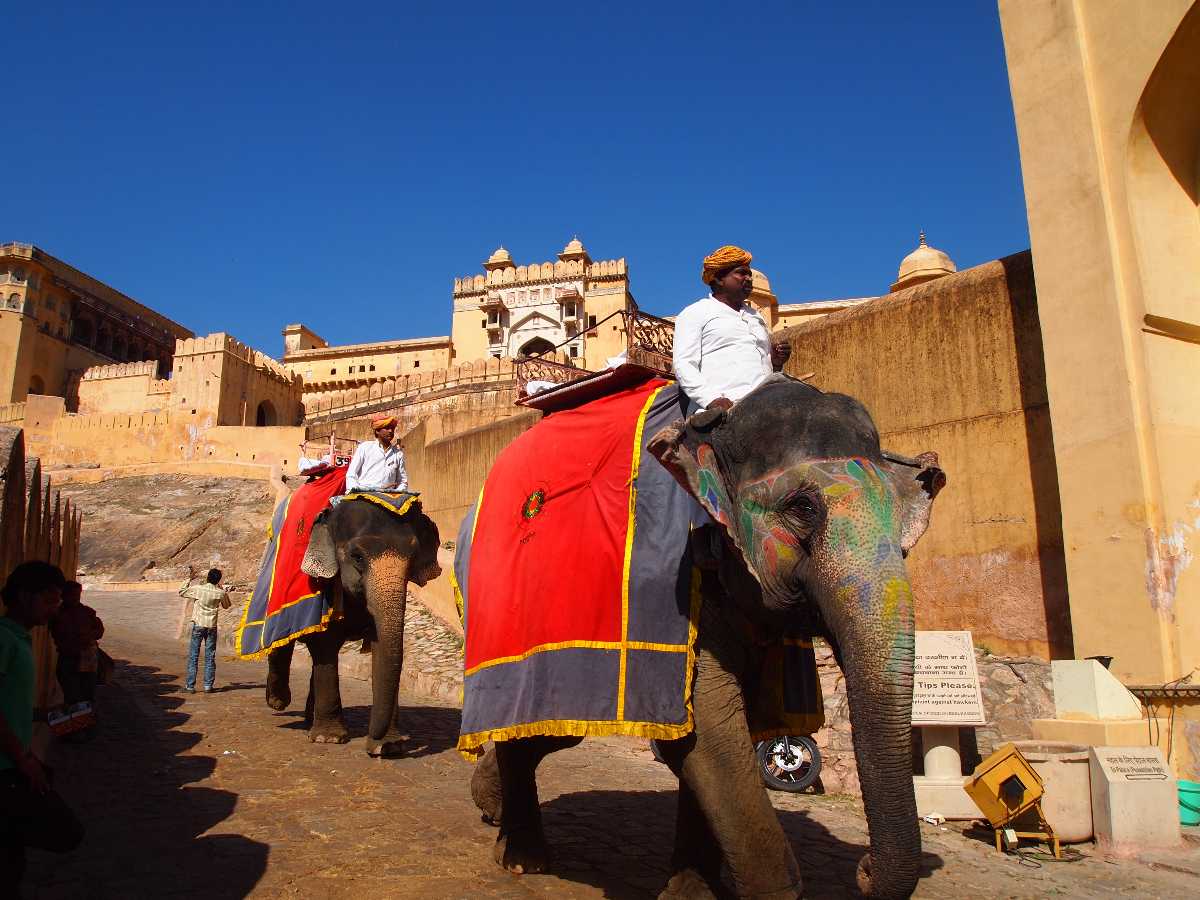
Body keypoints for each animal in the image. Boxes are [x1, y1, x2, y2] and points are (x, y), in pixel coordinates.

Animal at [265, 489, 444, 758]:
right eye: (357, 556)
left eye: (412, 558)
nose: (374, 746)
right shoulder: (325, 590)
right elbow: (325, 646)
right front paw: (329, 739)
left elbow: (382, 647)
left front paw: (388, 746)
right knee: (281, 642)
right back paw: (278, 702)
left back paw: (308, 718)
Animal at [468, 374, 945, 900]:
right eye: (802, 508)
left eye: (907, 527)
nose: (863, 868)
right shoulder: (674, 583)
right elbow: (709, 730)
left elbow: (717, 734)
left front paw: (692, 891)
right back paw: (522, 859)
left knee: (551, 729)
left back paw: (489, 804)